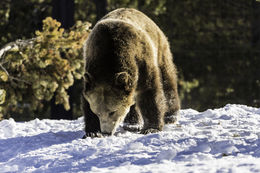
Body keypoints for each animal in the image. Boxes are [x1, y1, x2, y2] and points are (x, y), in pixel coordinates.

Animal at [82, 8, 180, 138]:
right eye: (97, 112)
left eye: (112, 111)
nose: (106, 132)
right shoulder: (91, 65)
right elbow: (87, 101)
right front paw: (93, 132)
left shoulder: (141, 60)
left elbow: (149, 92)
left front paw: (151, 128)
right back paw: (132, 123)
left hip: (159, 47)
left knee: (167, 78)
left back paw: (171, 115)